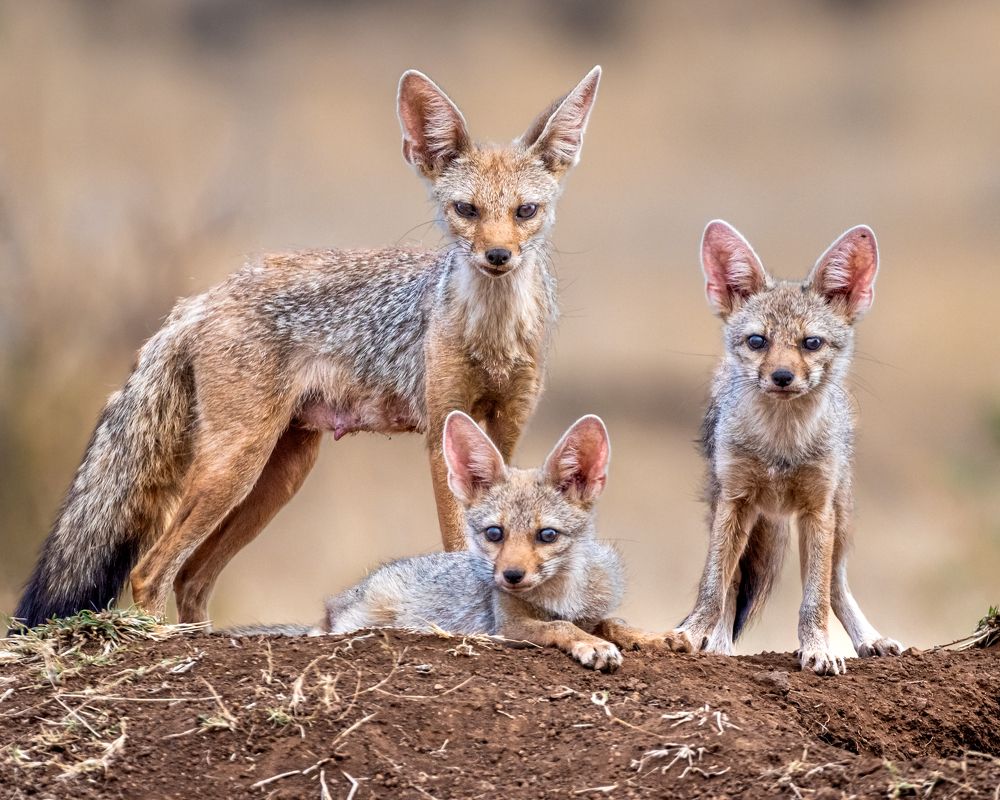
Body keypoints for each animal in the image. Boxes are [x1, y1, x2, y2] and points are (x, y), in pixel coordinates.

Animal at [12, 66, 602, 630]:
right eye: (467, 210)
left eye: (526, 211)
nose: (498, 256)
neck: (493, 339)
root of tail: (204, 297)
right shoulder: (443, 433)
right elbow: (460, 541)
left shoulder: (505, 429)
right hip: (236, 466)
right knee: (149, 571)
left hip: (278, 476)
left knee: (191, 577)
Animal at [231, 411, 666, 672]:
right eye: (494, 534)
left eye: (547, 535)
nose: (511, 576)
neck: (562, 596)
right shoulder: (508, 626)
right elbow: (561, 627)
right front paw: (591, 644)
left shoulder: (594, 609)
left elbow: (612, 621)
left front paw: (655, 636)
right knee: (323, 631)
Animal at [668, 220, 902, 675]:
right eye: (758, 341)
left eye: (811, 343)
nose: (781, 376)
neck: (781, 447)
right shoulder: (735, 501)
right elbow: (715, 584)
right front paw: (694, 635)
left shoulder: (818, 510)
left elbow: (815, 598)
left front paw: (818, 649)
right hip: (731, 510)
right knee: (732, 582)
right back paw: (718, 643)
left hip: (840, 517)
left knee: (836, 583)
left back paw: (870, 639)